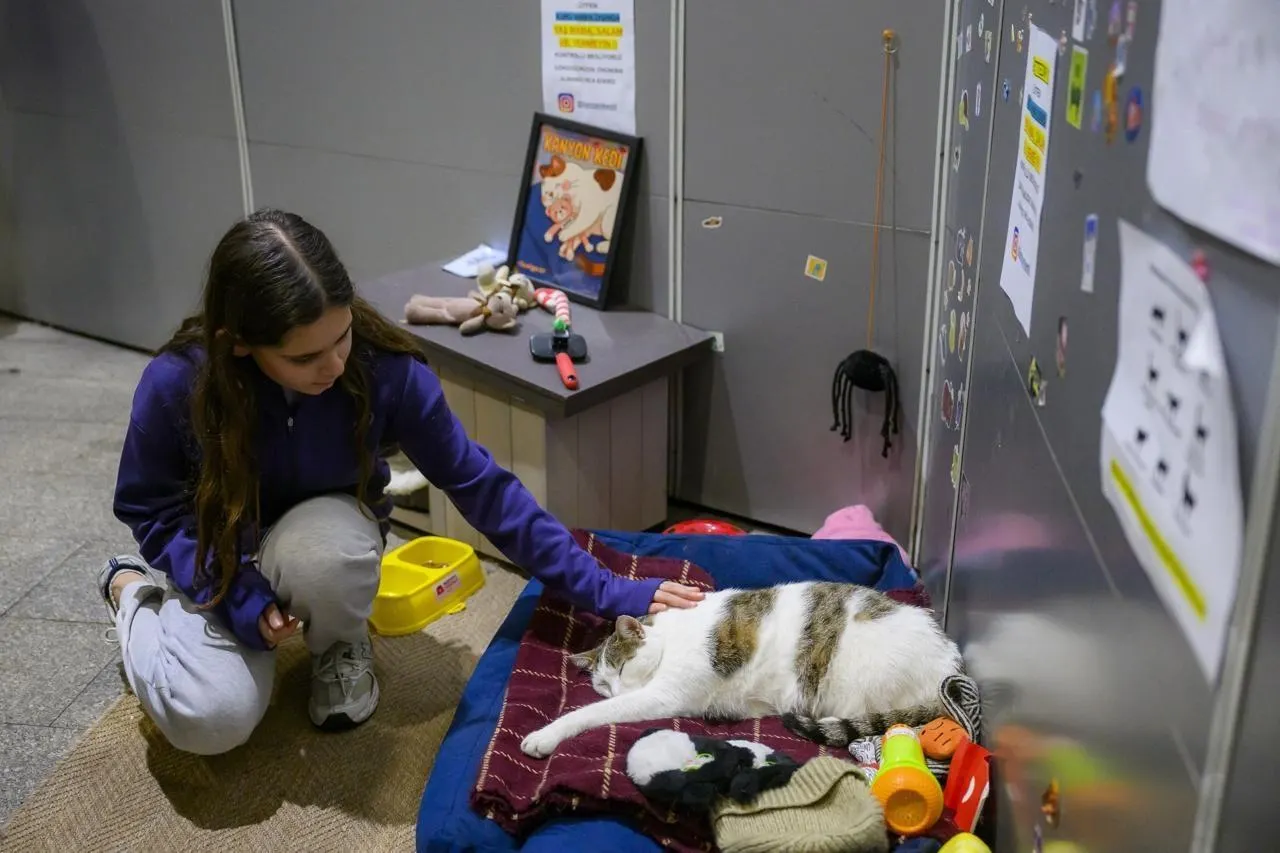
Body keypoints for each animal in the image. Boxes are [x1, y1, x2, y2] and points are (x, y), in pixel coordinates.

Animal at [520, 580, 963, 758]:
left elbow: (588, 714)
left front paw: (543, 736)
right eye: (603, 683)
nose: (617, 689)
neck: (669, 638)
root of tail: (950, 663)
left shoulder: (662, 695)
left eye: (624, 666)